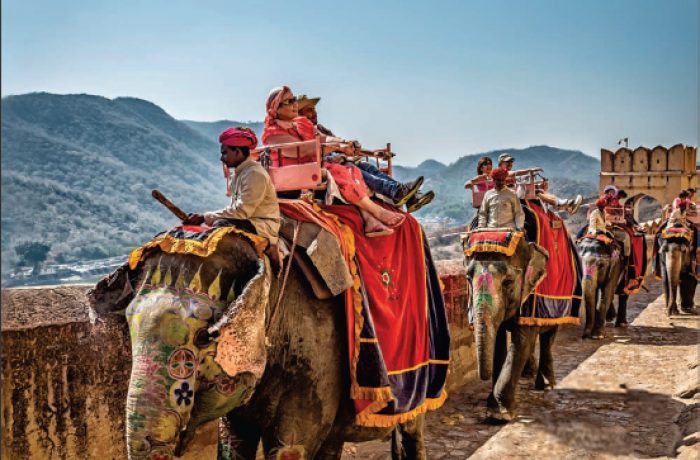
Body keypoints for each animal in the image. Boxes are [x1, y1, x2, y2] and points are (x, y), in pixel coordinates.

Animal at [90, 231, 426, 459]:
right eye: (128, 328)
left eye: (205, 337)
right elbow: (234, 440)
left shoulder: (317, 364)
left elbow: (292, 446)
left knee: (411, 430)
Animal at [464, 233, 552, 421]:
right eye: (468, 278)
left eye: (508, 282)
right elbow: (497, 341)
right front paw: (492, 408)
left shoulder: (529, 297)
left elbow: (521, 343)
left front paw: (500, 415)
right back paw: (529, 375)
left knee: (548, 336)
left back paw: (545, 385)